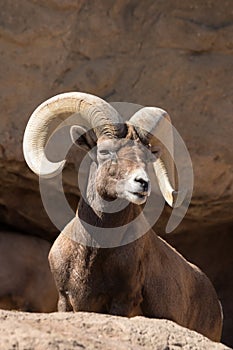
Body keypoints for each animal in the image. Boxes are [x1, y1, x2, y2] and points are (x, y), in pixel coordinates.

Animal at [23, 92, 222, 342]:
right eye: (104, 151)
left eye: (146, 158)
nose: (142, 183)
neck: (93, 251)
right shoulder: (65, 300)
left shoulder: (121, 302)